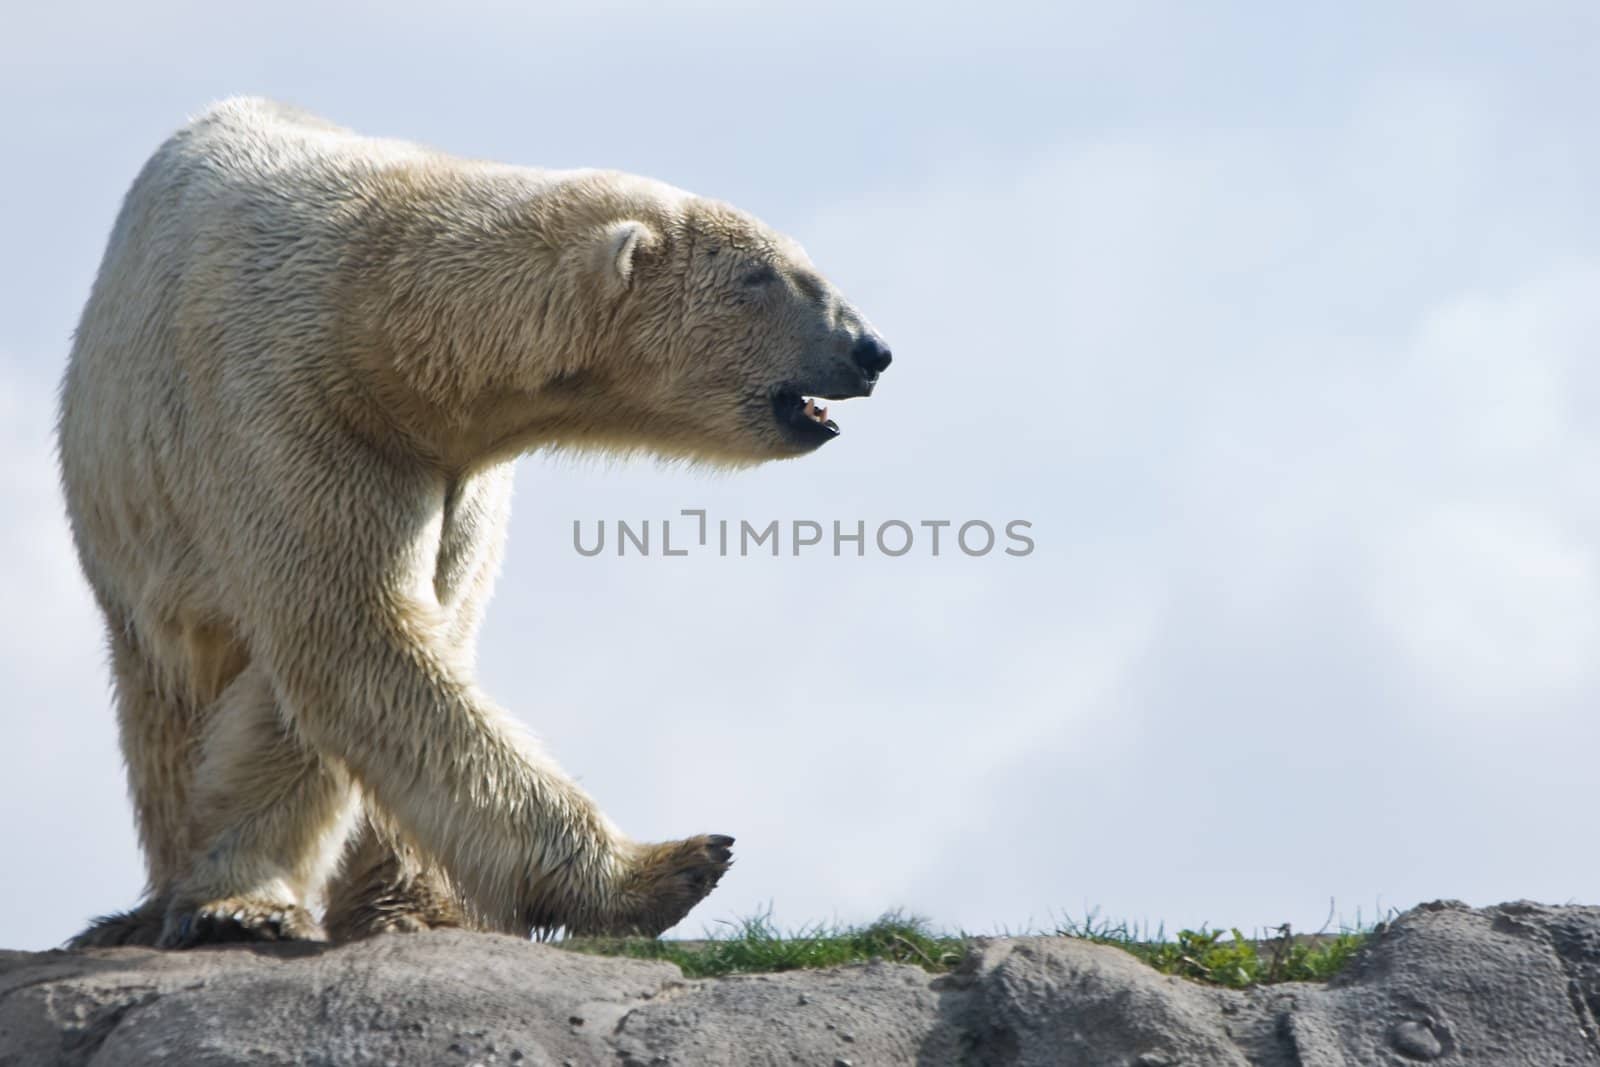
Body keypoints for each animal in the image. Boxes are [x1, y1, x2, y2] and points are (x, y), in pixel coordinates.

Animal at [56, 99, 896, 947]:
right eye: (765, 275)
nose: (872, 349)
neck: (382, 325)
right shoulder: (294, 412)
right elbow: (349, 636)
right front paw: (672, 867)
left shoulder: (455, 477)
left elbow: (369, 660)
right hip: (137, 523)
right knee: (167, 700)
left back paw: (410, 903)